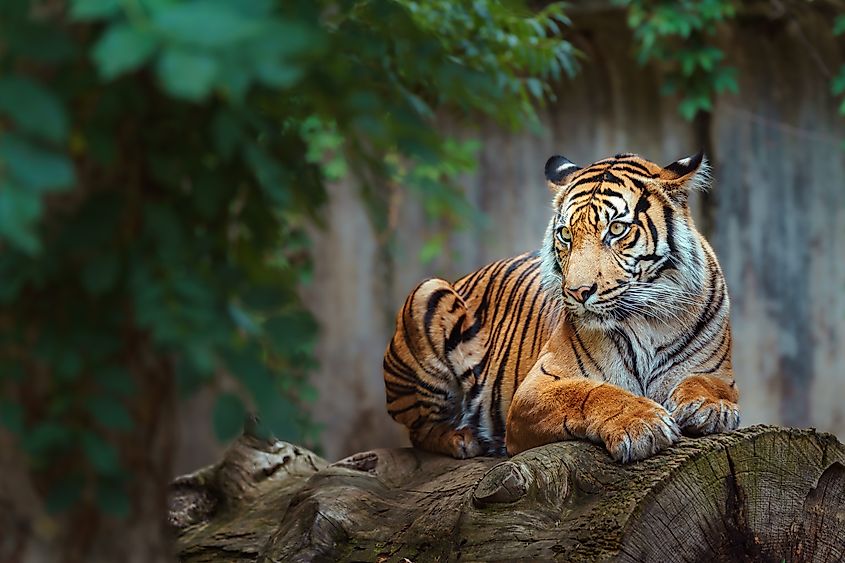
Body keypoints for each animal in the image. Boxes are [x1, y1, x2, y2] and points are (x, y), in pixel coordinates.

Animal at [383, 151, 739, 463]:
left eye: (617, 229)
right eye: (566, 234)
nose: (578, 292)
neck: (646, 320)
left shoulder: (718, 372)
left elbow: (711, 384)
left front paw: (710, 408)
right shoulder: (534, 389)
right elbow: (591, 393)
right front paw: (642, 422)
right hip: (429, 293)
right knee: (420, 430)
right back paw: (463, 438)